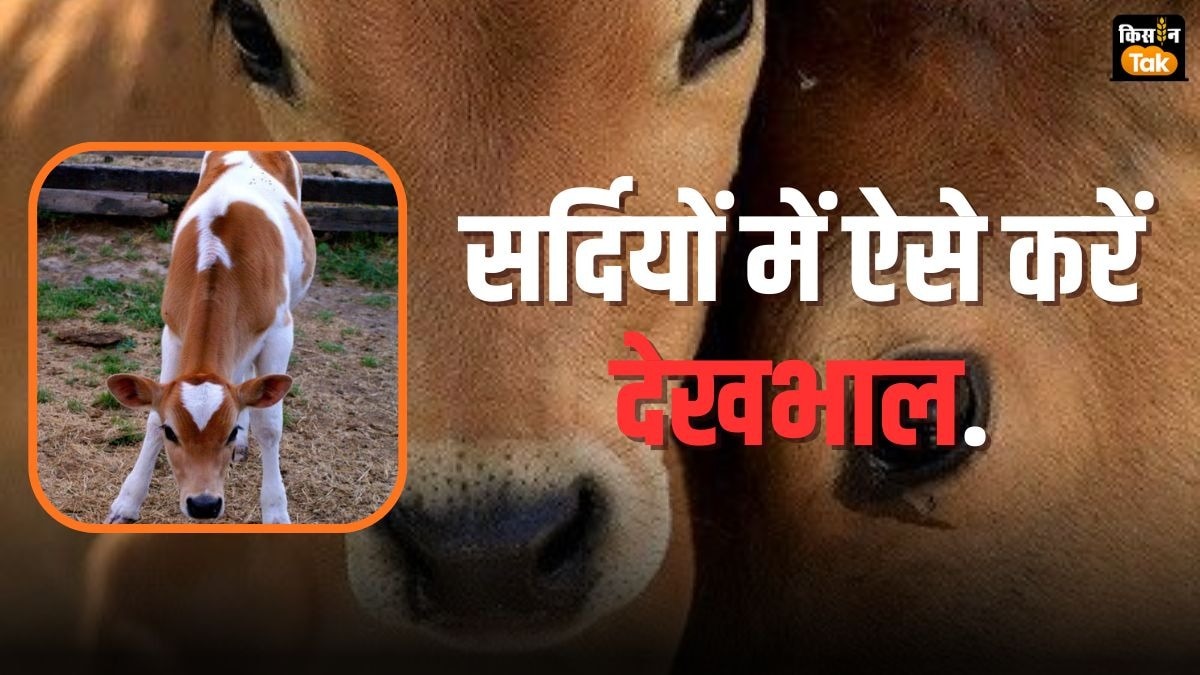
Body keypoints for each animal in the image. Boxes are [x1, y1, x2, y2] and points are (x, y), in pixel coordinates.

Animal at [104, 150, 314, 524]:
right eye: (171, 432)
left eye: (228, 432)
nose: (203, 504)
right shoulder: (172, 331)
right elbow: (152, 416)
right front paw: (127, 502)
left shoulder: (280, 332)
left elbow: (269, 423)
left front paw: (276, 511)